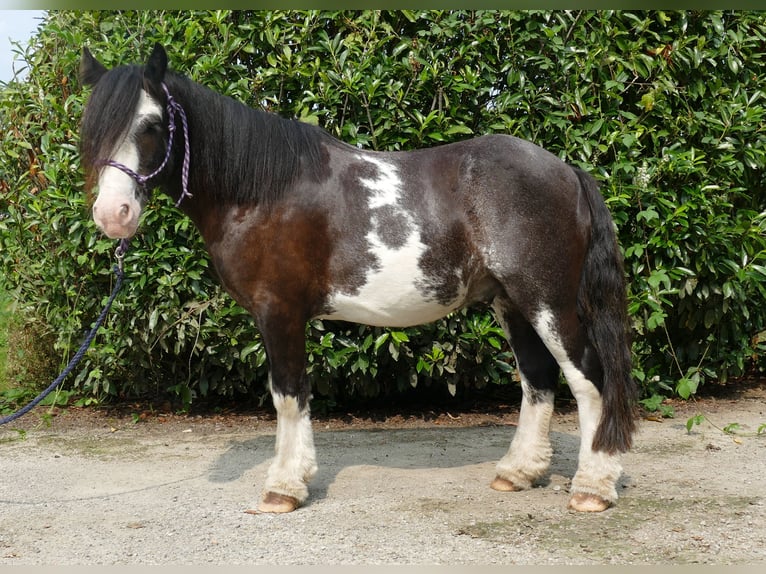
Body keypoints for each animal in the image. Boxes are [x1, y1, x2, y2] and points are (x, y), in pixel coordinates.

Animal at [81, 42, 640, 516]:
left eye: (152, 124)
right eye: (91, 127)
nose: (113, 215)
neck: (263, 191)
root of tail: (567, 172)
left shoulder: (280, 311)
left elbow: (288, 394)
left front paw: (284, 487)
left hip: (548, 301)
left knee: (588, 379)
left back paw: (593, 488)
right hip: (512, 303)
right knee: (538, 380)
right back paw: (518, 472)